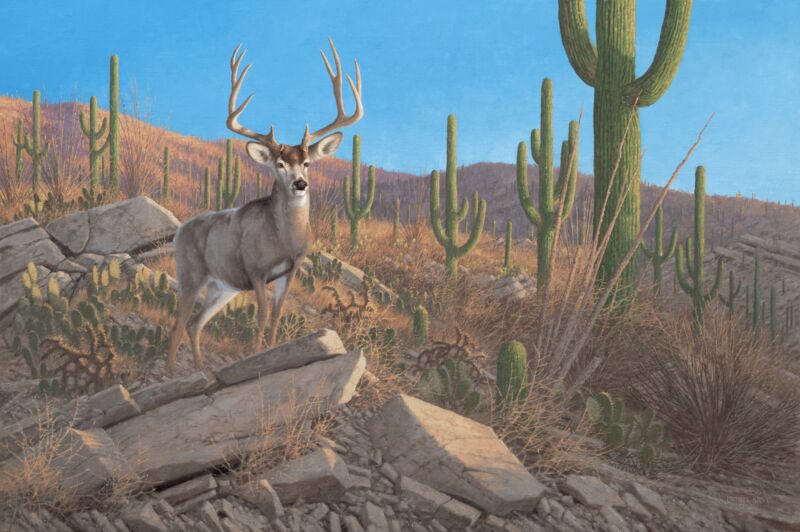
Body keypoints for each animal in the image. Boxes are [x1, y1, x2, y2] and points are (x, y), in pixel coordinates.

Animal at [165, 38, 363, 374]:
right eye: (279, 164)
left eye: (307, 163)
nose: (300, 184)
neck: (284, 239)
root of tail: (181, 230)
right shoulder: (255, 269)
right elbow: (261, 315)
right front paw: (255, 356)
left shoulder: (291, 269)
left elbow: (277, 314)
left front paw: (273, 351)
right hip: (190, 272)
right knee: (178, 323)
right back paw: (167, 371)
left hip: (223, 286)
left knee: (195, 324)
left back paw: (201, 369)